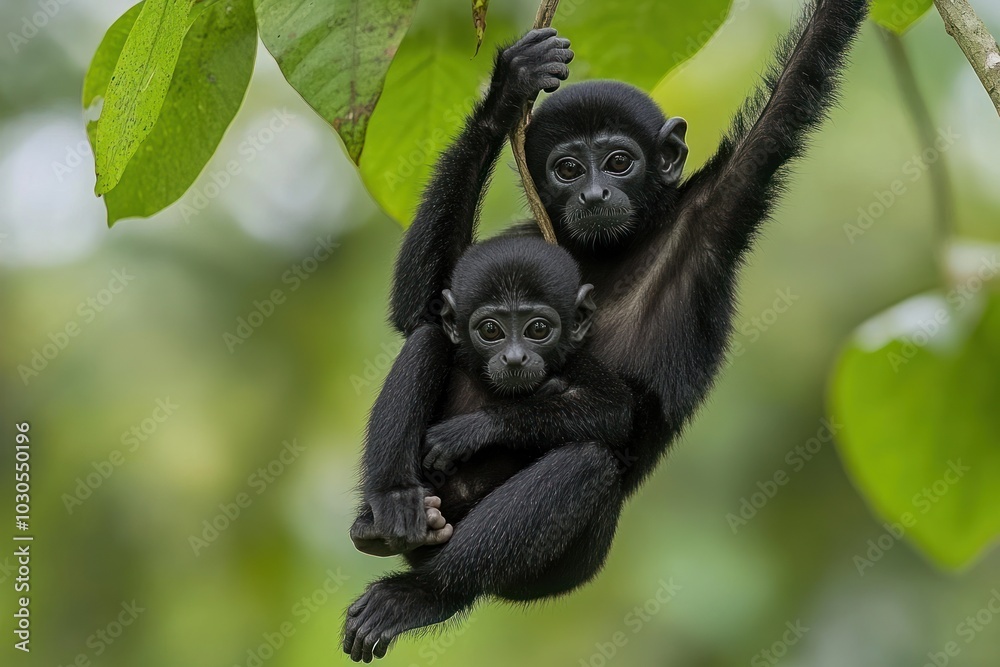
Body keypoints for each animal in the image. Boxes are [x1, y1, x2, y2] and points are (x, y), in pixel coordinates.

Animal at [345, 1, 869, 660]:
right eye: (568, 168)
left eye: (619, 161)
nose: (595, 193)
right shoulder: (526, 238)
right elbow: (420, 307)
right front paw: (509, 87)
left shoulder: (716, 206)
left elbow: (793, 96)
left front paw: (475, 429)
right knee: (430, 339)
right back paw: (392, 512)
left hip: (564, 567)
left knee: (586, 465)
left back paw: (423, 595)